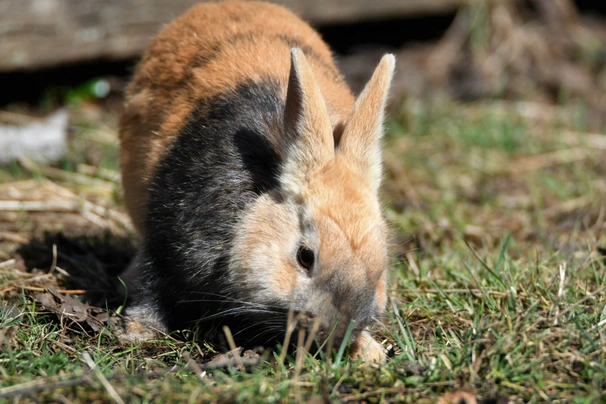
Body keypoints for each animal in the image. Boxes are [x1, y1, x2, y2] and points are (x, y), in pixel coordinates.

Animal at [119, 0, 396, 362]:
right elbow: (153, 283)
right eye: (305, 257)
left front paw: (369, 353)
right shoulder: (165, 236)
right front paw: (138, 332)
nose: (336, 332)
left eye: (381, 264)